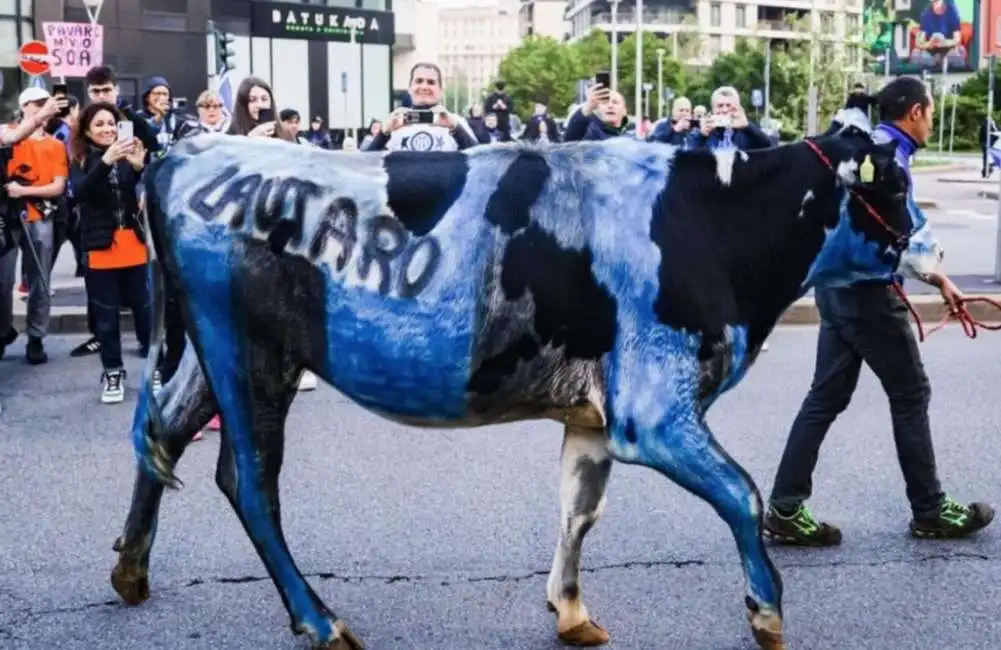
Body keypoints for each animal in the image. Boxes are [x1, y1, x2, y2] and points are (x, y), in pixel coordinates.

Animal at [113, 110, 924, 648]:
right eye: (892, 183)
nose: (918, 234)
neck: (708, 226)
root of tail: (182, 152)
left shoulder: (595, 417)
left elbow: (579, 510)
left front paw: (570, 612)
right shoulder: (652, 410)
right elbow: (740, 491)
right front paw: (766, 611)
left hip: (213, 355)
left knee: (162, 435)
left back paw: (130, 571)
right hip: (250, 354)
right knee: (247, 480)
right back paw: (320, 620)